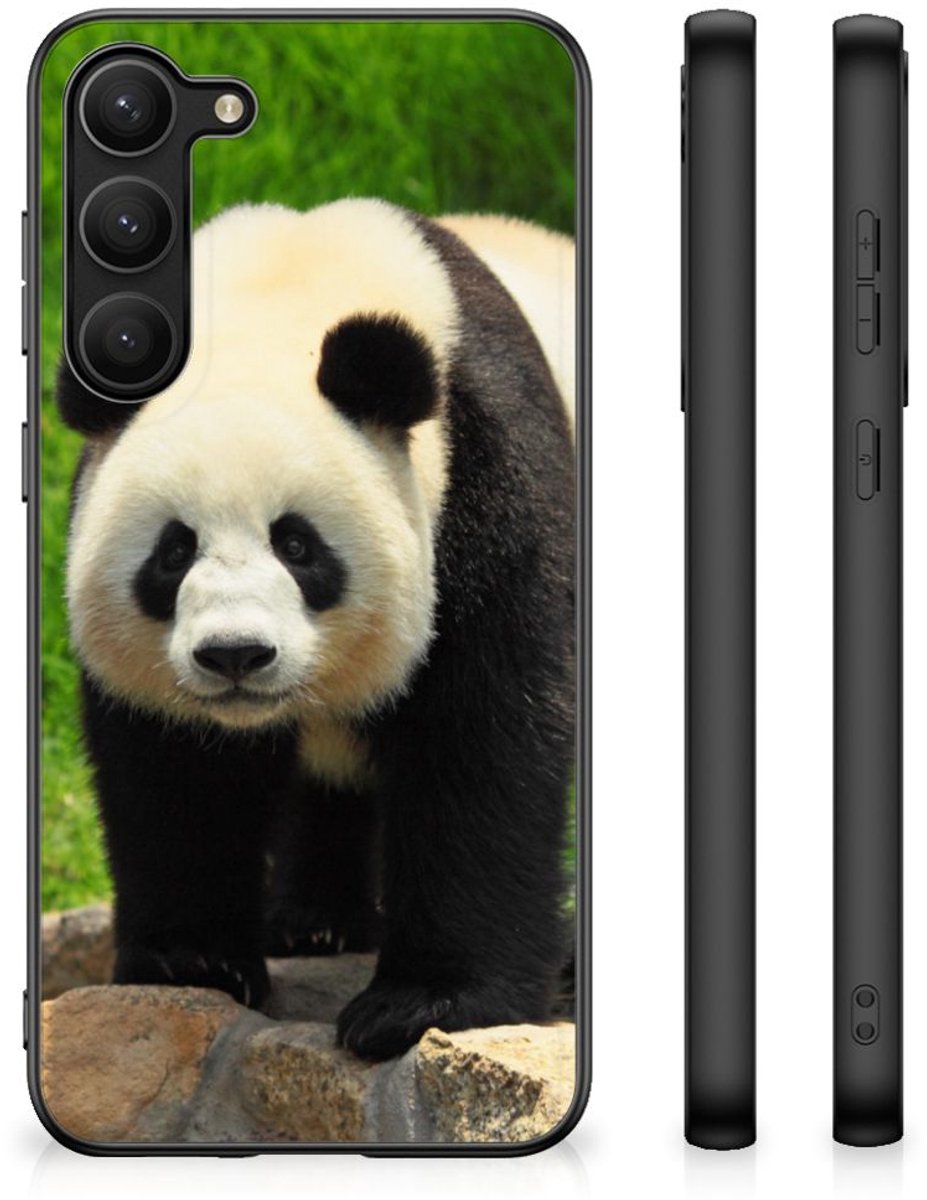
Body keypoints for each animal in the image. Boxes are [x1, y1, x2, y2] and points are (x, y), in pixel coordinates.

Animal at [58, 198, 575, 1061]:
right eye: (173, 551)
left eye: (297, 545)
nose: (235, 655)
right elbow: (176, 770)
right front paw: (192, 961)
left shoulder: (488, 479)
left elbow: (485, 738)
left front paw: (423, 1003)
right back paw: (314, 922)